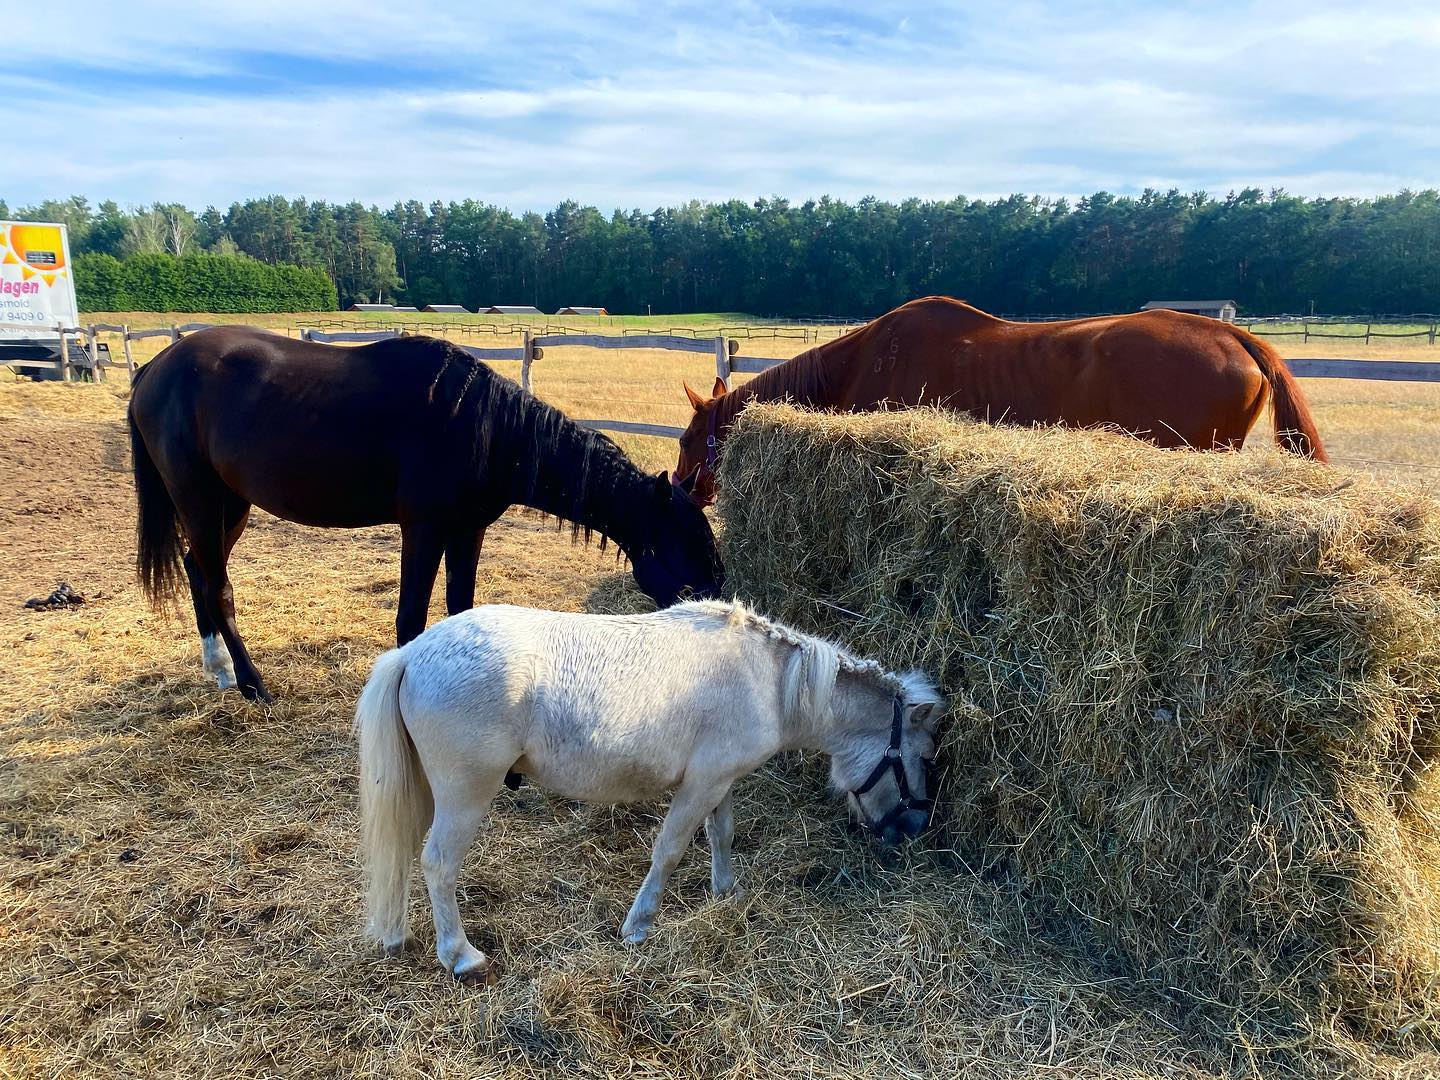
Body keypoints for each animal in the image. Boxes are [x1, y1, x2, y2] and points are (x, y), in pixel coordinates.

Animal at [129, 325, 725, 705]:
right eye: (688, 552)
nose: (716, 615)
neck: (481, 425)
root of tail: (155, 368)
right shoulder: (423, 529)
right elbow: (411, 618)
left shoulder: (468, 529)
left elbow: (461, 606)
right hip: (200, 501)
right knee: (219, 586)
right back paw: (253, 684)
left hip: (230, 506)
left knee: (198, 569)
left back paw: (219, 670)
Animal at [357, 604, 944, 984]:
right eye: (924, 758)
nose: (913, 828)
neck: (771, 682)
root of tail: (413, 653)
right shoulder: (701, 784)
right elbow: (669, 850)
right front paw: (638, 927)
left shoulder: (720, 780)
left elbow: (721, 834)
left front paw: (726, 892)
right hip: (465, 796)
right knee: (438, 863)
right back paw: (461, 956)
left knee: (406, 853)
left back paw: (397, 934)